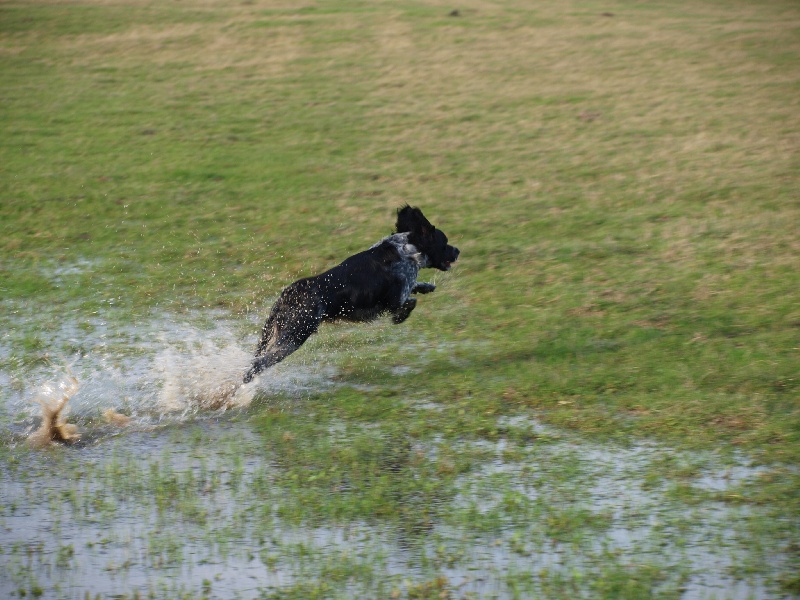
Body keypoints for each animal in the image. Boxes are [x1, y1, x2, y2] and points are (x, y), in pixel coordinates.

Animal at [241, 206, 460, 384]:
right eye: (445, 242)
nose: (458, 250)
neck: (405, 249)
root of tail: (287, 295)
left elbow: (416, 287)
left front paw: (426, 286)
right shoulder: (394, 299)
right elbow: (409, 301)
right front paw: (400, 317)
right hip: (293, 337)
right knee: (255, 367)